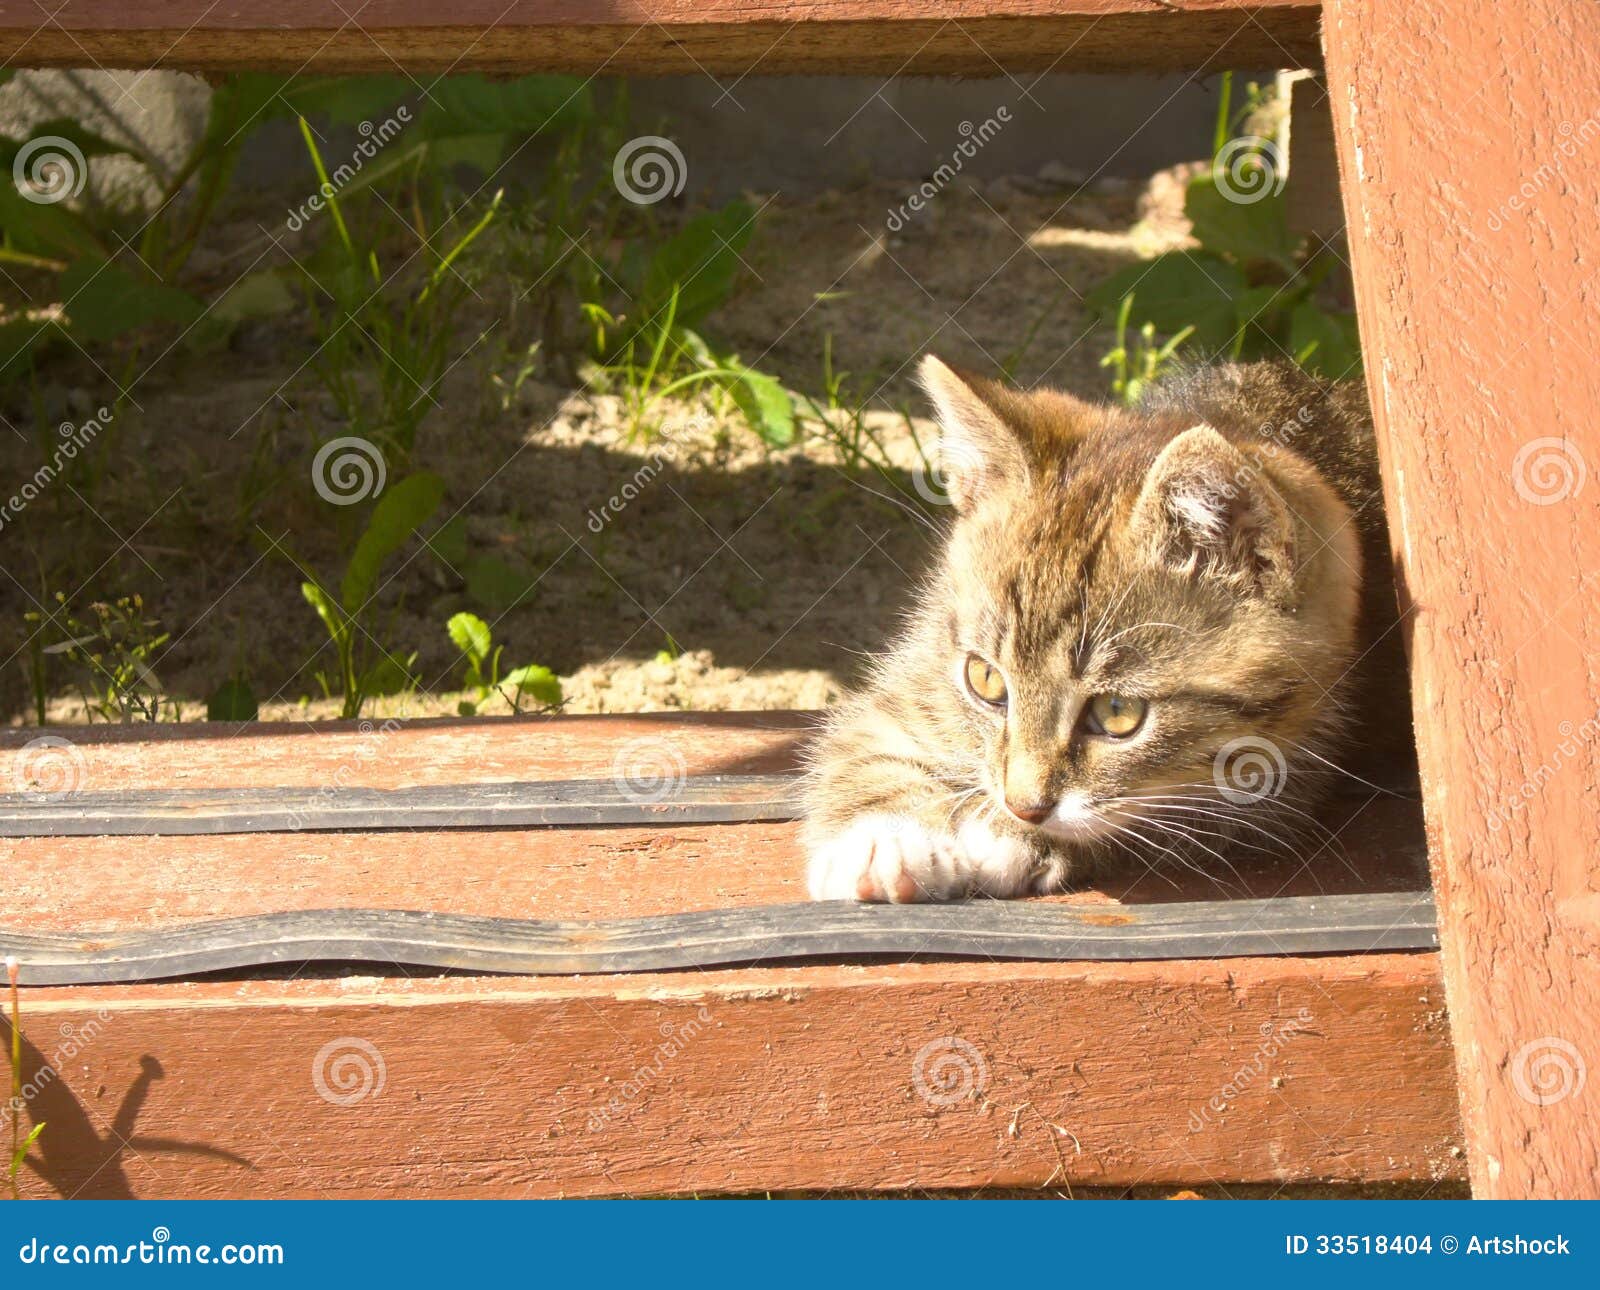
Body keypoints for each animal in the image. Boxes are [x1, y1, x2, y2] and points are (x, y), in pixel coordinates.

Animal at [806, 350, 1408, 896]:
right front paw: (882, 840)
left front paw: (1014, 840)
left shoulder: (1289, 767)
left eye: (1118, 713)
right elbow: (868, 735)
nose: (1022, 808)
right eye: (986, 681)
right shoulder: (924, 664)